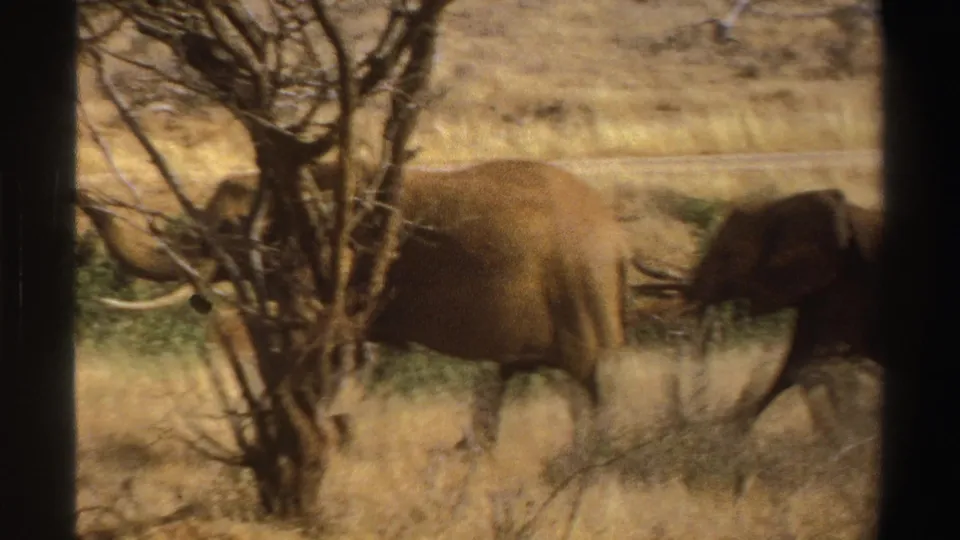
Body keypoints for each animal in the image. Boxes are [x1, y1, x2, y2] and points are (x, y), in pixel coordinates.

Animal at [78, 159, 643, 452]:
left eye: (231, 227)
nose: (86, 197)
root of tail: (617, 239)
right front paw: (343, 435)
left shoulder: (348, 260)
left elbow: (336, 350)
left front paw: (333, 436)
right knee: (509, 380)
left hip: (581, 291)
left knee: (592, 383)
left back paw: (591, 462)